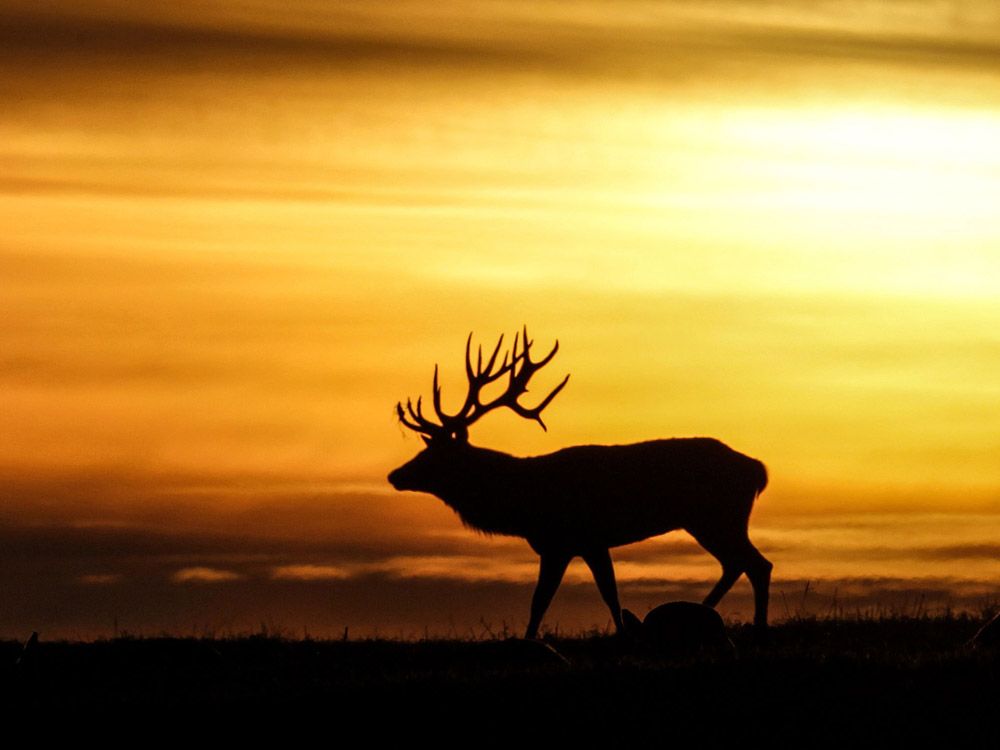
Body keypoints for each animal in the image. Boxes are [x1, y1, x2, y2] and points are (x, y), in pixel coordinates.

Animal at [387, 328, 772, 639]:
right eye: (425, 450)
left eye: (435, 456)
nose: (394, 475)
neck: (524, 505)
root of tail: (757, 469)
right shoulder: (573, 544)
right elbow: (580, 595)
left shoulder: (577, 539)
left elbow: (559, 598)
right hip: (711, 521)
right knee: (736, 563)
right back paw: (704, 610)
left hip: (717, 516)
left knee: (756, 564)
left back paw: (756, 626)